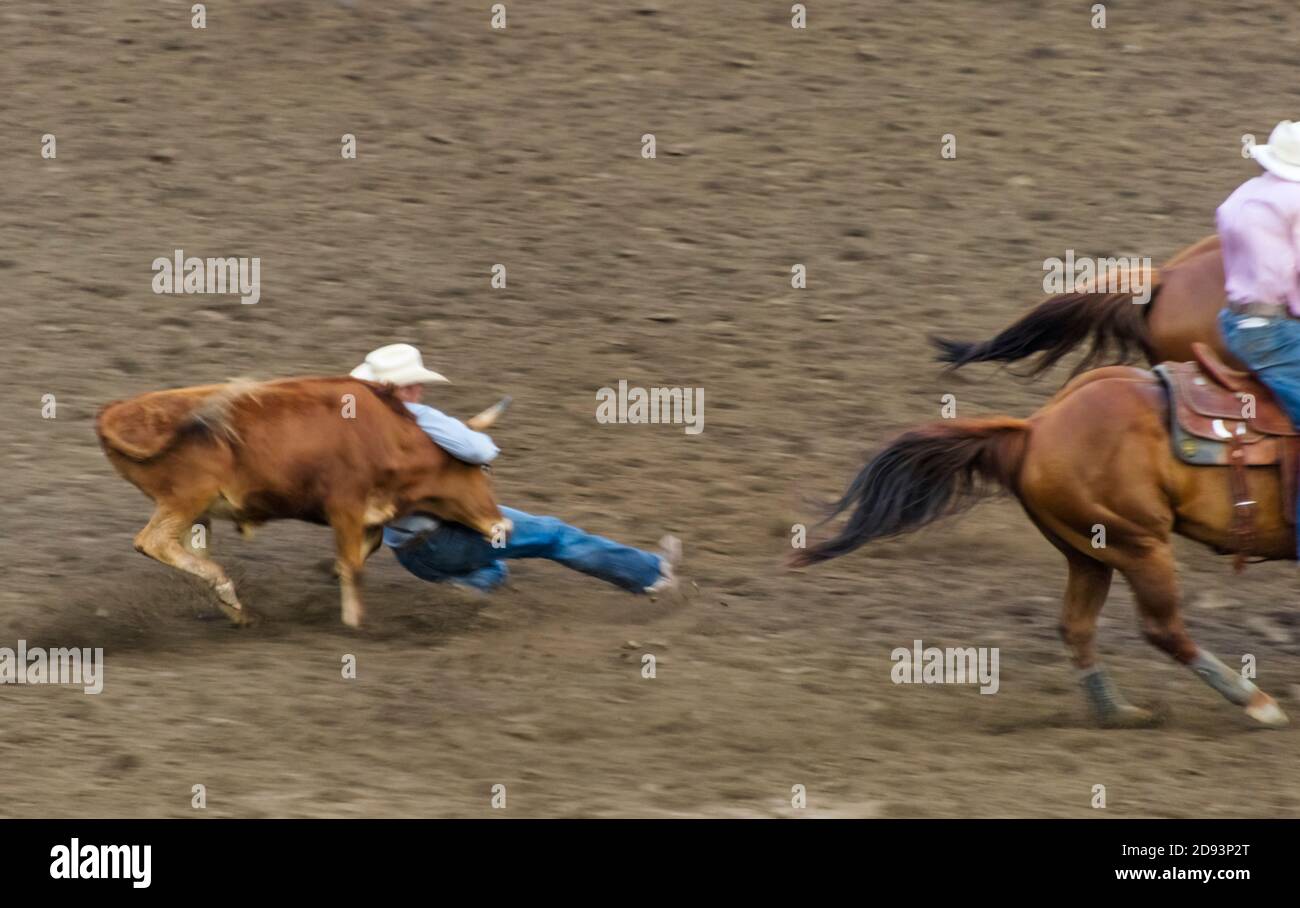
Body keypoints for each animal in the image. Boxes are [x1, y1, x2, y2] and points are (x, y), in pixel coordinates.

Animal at [790, 364, 1289, 723]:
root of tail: (1035, 427)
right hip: (1140, 544)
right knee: (1160, 627)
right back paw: (1257, 703)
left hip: (1093, 551)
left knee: (1077, 626)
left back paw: (1118, 713)